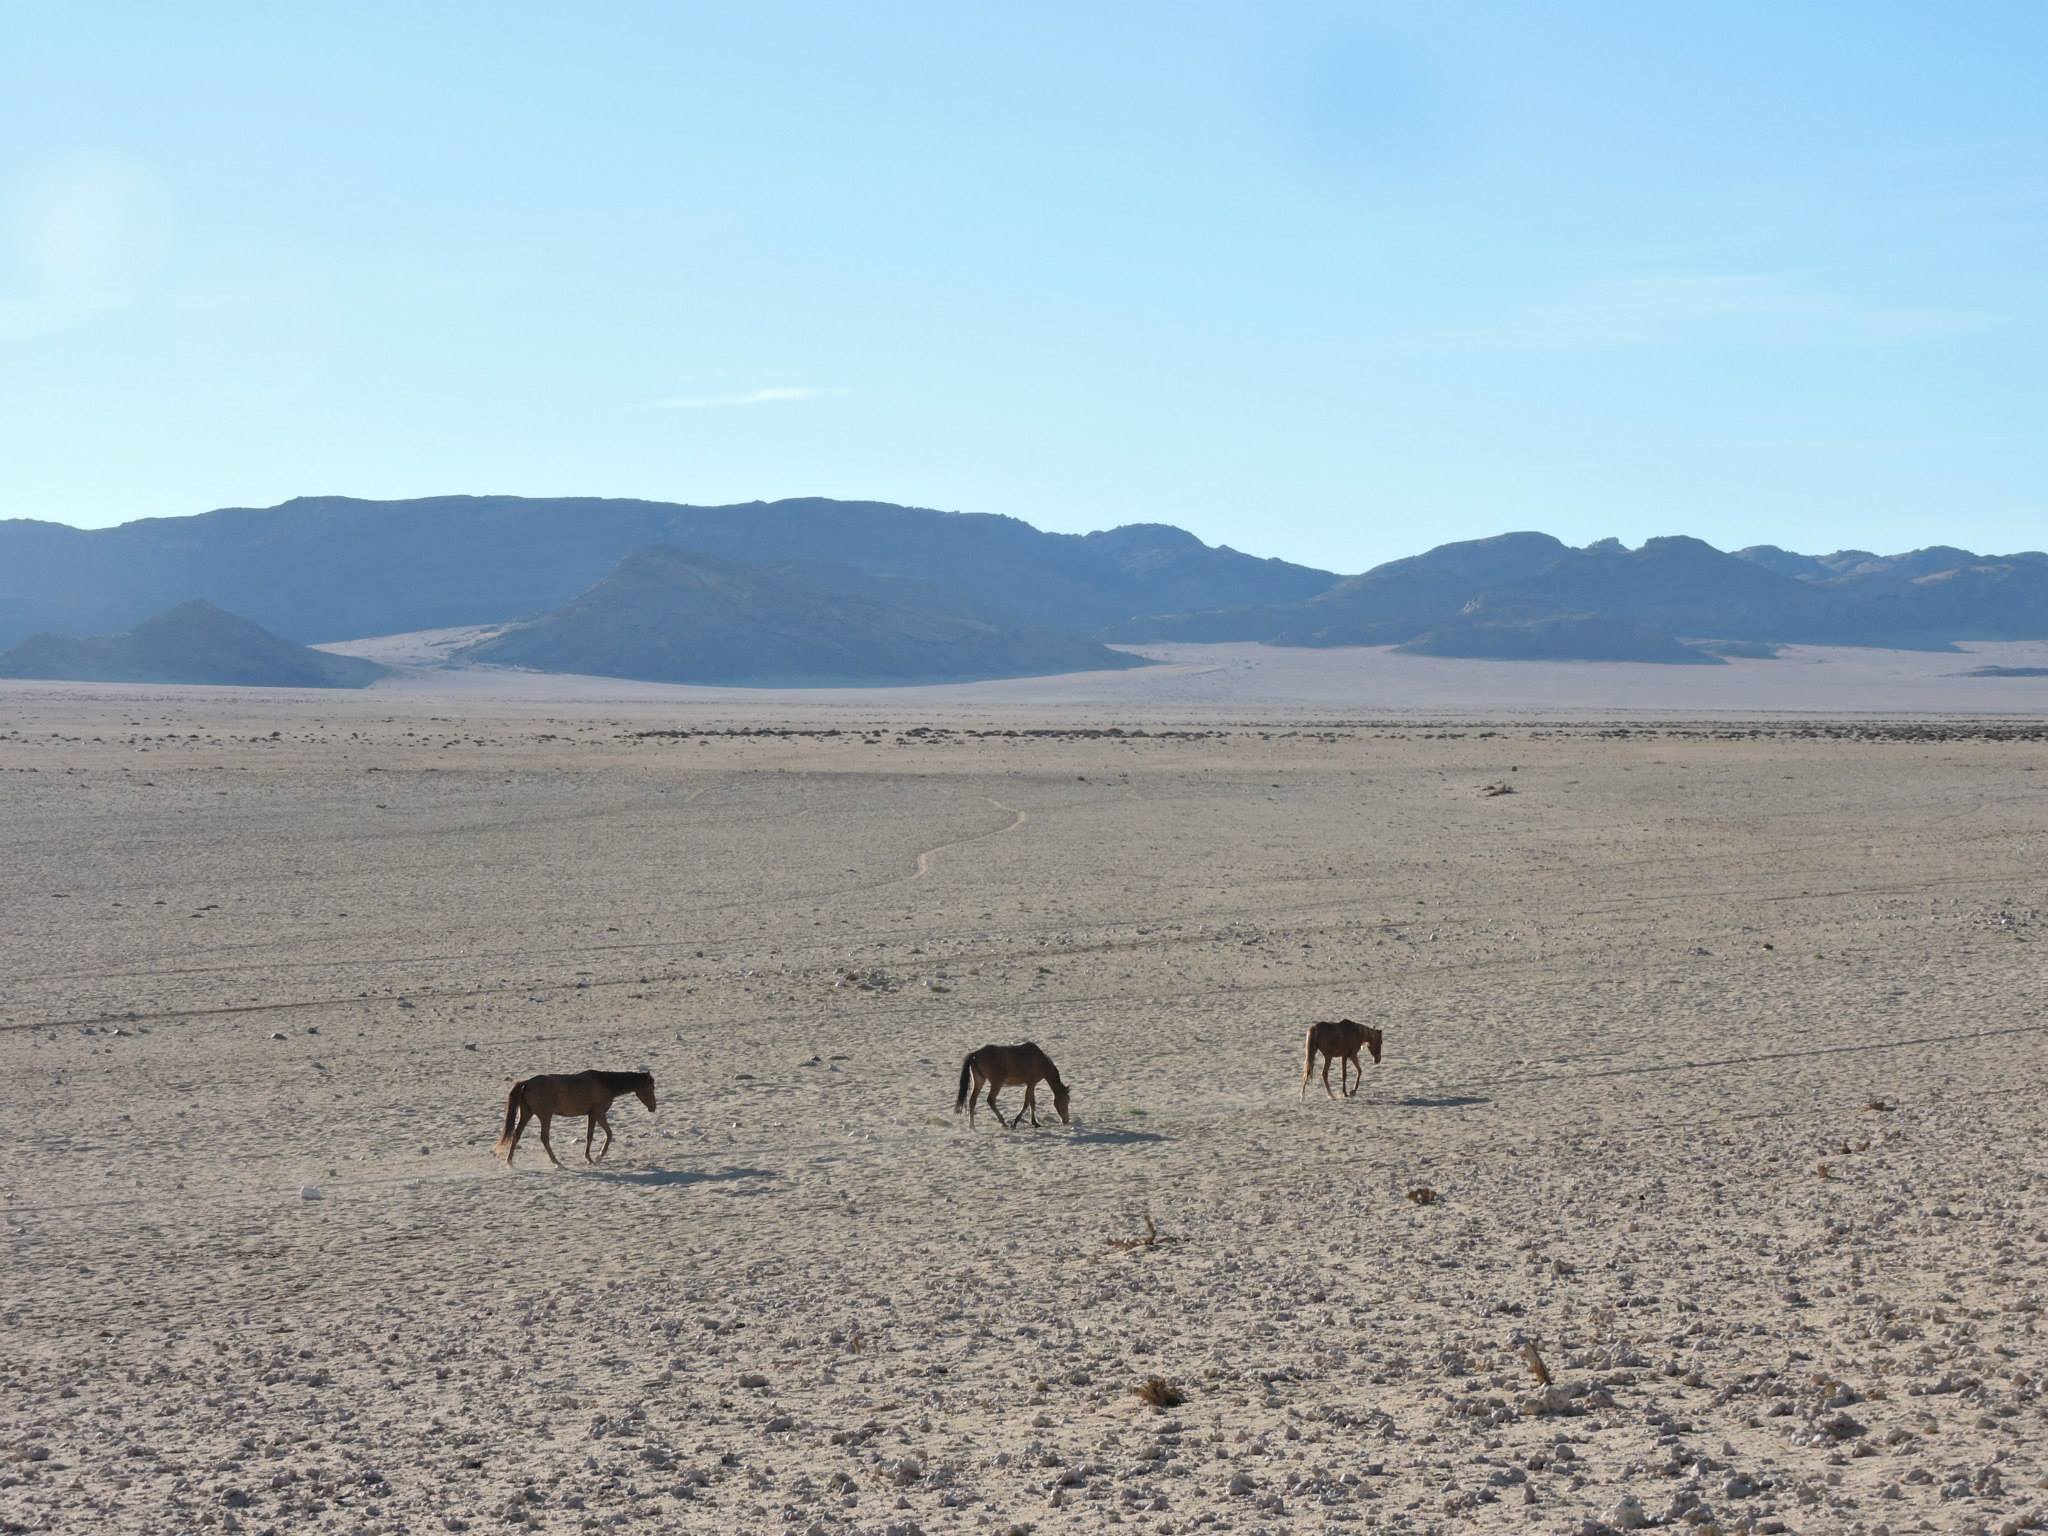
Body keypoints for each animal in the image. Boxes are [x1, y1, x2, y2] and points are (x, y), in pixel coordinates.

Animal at [494, 1070, 656, 1167]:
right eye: (651, 1087)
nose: (653, 1108)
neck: (606, 1083)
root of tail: (527, 1082)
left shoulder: (592, 1115)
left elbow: (589, 1136)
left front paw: (589, 1158)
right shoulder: (599, 1114)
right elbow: (609, 1134)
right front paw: (599, 1156)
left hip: (527, 1114)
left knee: (516, 1135)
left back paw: (510, 1161)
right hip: (545, 1116)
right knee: (544, 1138)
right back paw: (557, 1162)